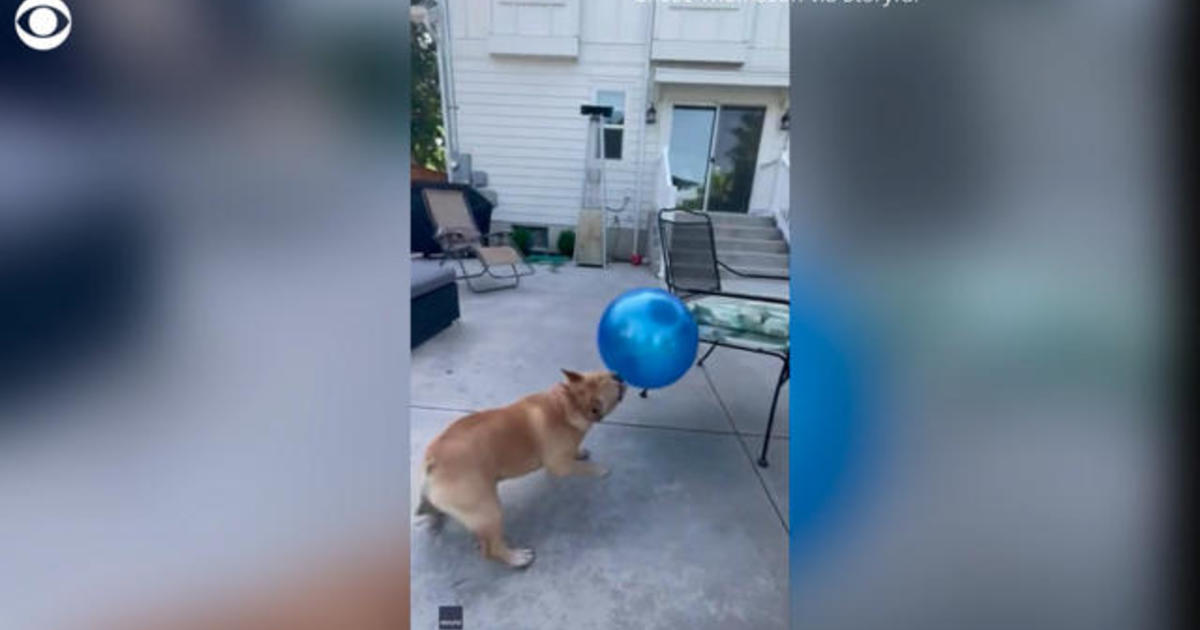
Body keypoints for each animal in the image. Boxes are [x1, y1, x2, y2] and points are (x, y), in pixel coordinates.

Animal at [415, 369, 624, 568]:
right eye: (614, 387)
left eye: (602, 374)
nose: (618, 375)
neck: (566, 403)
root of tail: (432, 461)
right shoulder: (560, 465)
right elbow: (582, 468)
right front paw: (599, 469)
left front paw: (579, 452)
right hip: (488, 510)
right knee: (491, 549)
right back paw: (516, 558)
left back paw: (434, 517)